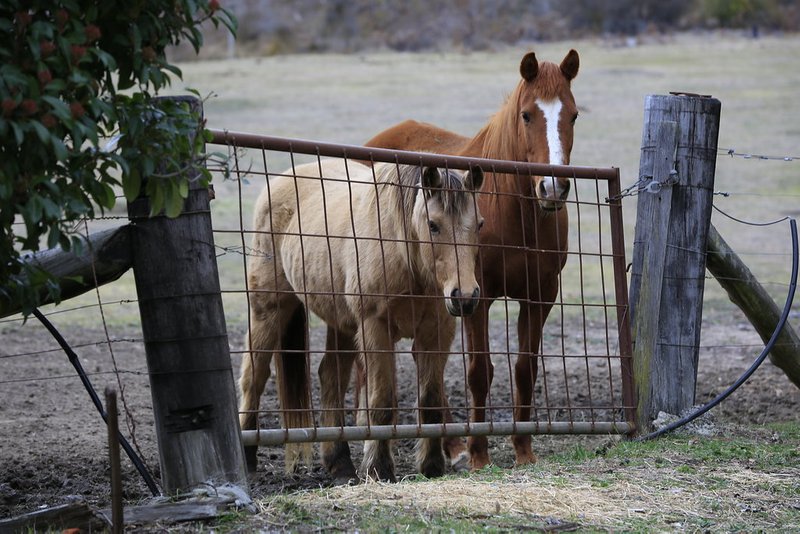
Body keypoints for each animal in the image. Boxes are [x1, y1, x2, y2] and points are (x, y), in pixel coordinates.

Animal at [238, 161, 484, 484]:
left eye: (479, 224)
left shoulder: (437, 331)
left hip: (341, 325)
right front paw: (378, 468)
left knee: (331, 376)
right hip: (268, 308)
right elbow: (381, 403)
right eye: (433, 225)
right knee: (254, 377)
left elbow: (430, 401)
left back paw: (340, 463)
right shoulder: (375, 328)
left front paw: (431, 467)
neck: (401, 251)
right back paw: (247, 455)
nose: (465, 297)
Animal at [354, 49, 576, 468]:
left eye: (572, 115)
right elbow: (478, 372)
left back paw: (449, 443)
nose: (552, 187)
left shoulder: (540, 296)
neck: (513, 211)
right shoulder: (477, 296)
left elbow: (524, 369)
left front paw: (523, 449)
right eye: (526, 115)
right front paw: (478, 454)